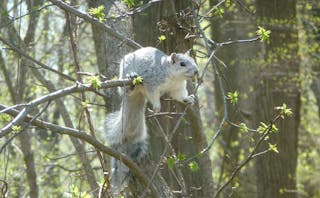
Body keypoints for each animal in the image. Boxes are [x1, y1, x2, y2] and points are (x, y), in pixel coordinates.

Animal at [106, 46, 199, 193]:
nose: (196, 71)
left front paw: (188, 99)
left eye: (193, 60)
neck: (173, 76)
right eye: (182, 64)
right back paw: (131, 79)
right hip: (125, 75)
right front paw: (156, 106)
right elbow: (153, 94)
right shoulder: (151, 82)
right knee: (126, 90)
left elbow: (180, 95)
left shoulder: (177, 88)